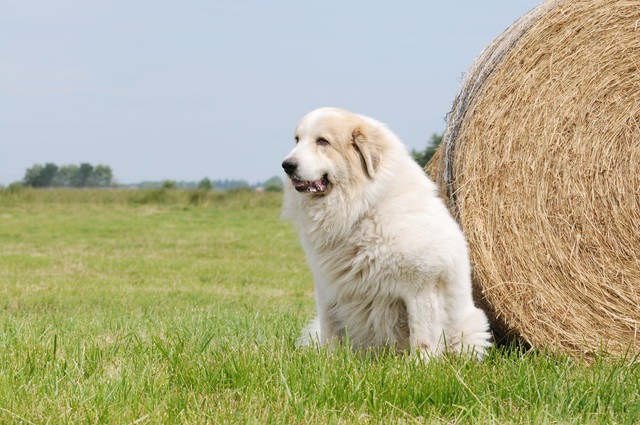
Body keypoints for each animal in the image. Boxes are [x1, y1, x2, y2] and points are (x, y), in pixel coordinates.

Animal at [282, 107, 492, 358]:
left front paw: (421, 362)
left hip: (471, 325)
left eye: (322, 141)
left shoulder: (422, 285)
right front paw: (328, 360)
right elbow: (330, 330)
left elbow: (422, 333)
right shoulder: (327, 288)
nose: (287, 165)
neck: (363, 207)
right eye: (297, 140)